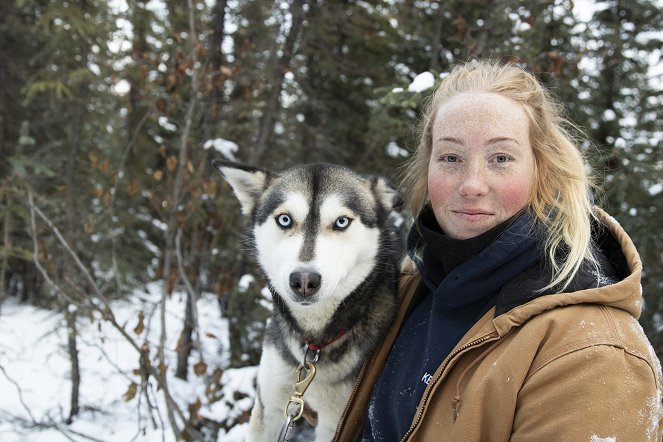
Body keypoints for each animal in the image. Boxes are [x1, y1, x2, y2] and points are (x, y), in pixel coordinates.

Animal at [213, 161, 402, 440]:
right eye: (285, 219)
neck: (313, 342)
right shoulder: (269, 405)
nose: (304, 281)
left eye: (341, 222)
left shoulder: (335, 423)